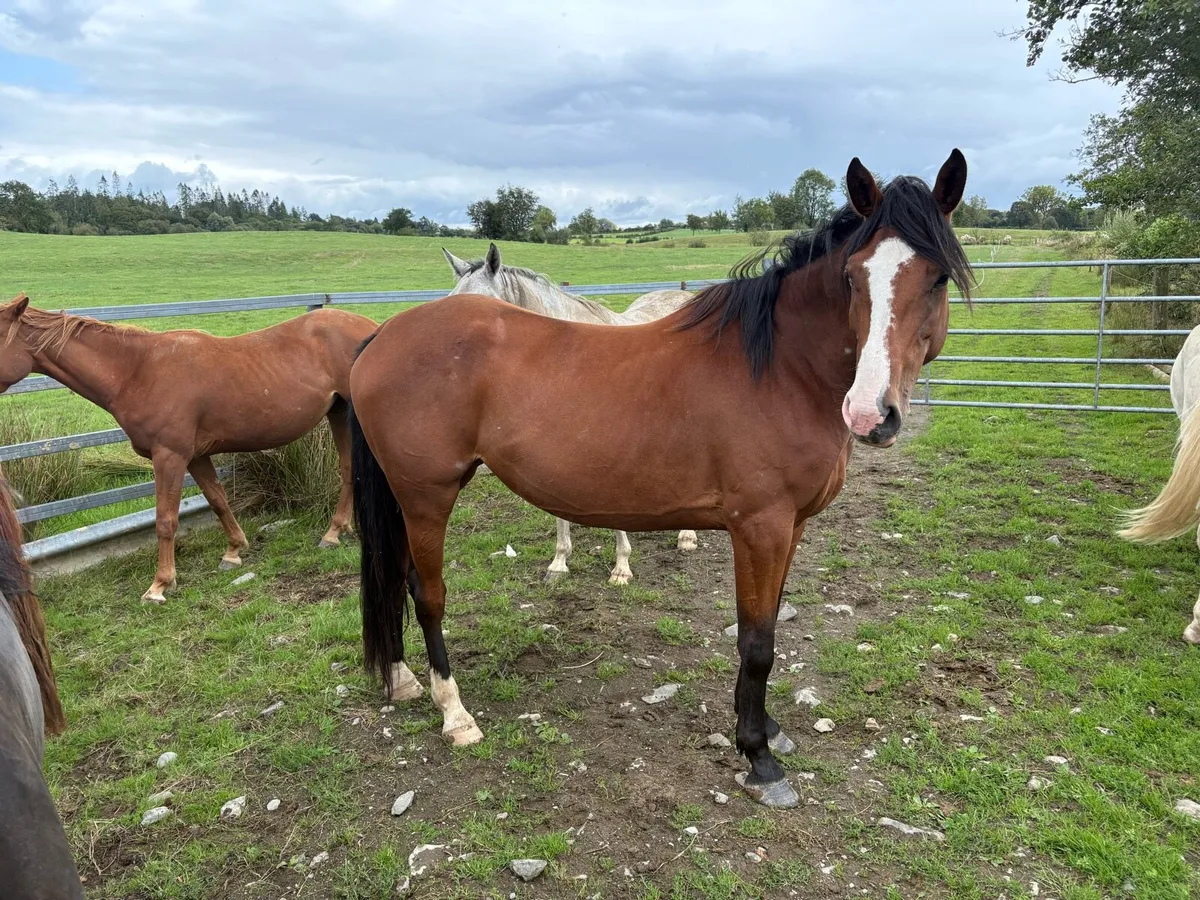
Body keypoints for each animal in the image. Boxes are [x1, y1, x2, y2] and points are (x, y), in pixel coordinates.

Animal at [0, 298, 378, 602]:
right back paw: (334, 532)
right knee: (348, 469)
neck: (137, 371)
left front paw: (160, 585)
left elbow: (166, 520)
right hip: (338, 412)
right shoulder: (196, 456)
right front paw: (234, 551)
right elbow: (218, 500)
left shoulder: (170, 456)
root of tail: (374, 330)